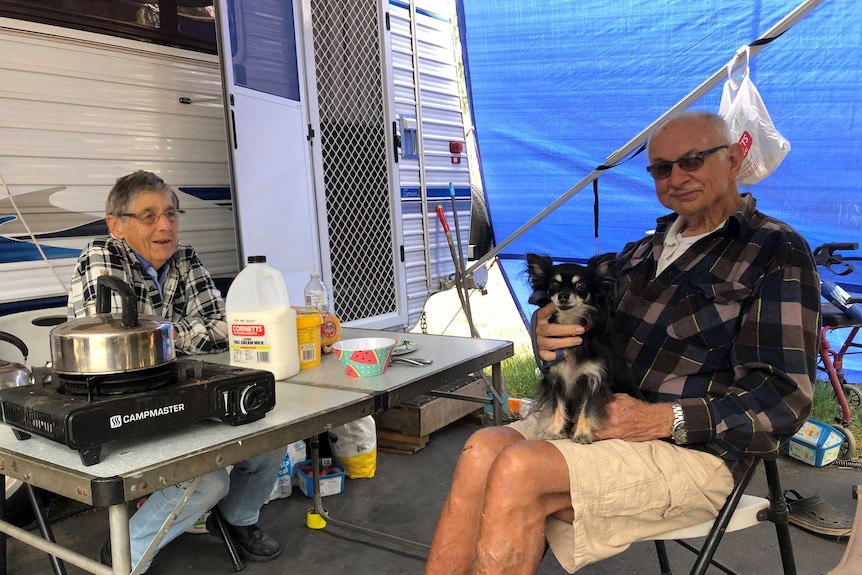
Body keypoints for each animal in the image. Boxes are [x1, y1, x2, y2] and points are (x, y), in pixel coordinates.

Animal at [524, 253, 636, 446]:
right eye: (554, 284)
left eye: (581, 285)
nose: (563, 295)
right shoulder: (555, 379)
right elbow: (556, 407)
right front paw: (554, 431)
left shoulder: (595, 380)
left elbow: (587, 409)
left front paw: (583, 434)